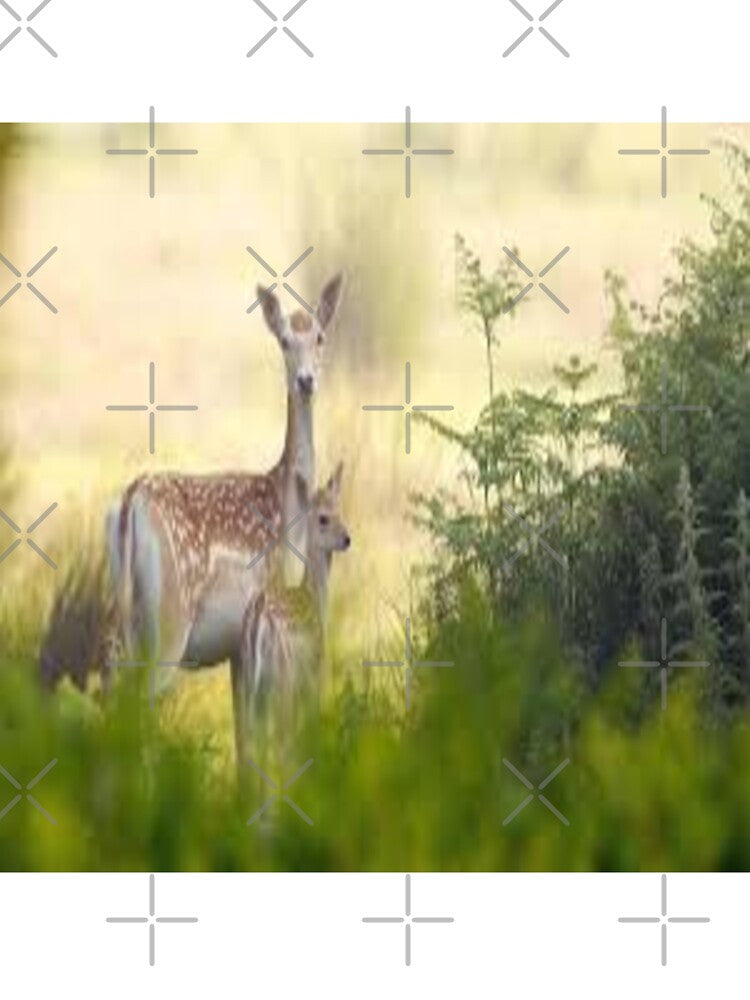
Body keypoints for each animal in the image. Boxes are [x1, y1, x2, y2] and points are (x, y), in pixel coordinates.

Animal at [104, 273, 344, 700]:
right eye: (284, 340)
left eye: (320, 337)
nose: (306, 380)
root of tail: (131, 503)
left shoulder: (239, 645)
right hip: (170, 616)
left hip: (124, 613)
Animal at [233, 462, 350, 769]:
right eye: (323, 518)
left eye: (341, 511)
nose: (347, 539)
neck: (313, 598)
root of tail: (258, 619)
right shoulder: (314, 672)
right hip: (281, 678)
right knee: (281, 743)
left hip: (249, 682)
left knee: (252, 743)